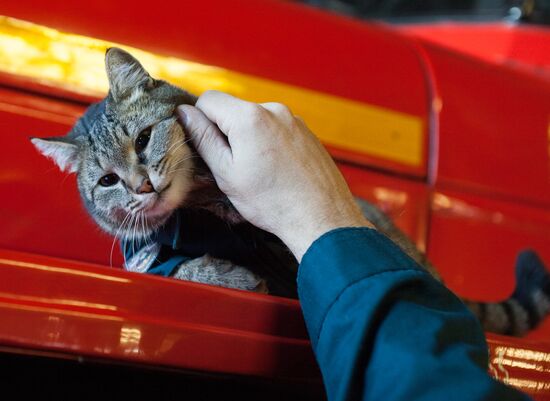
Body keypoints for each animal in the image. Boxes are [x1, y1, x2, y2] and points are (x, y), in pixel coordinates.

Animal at [31, 46, 550, 334]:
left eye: (142, 139)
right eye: (107, 180)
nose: (141, 186)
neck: (199, 211)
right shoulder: (146, 257)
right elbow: (178, 268)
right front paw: (226, 271)